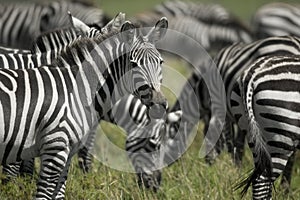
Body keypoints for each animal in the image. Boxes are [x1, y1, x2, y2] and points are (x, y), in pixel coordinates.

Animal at [0, 17, 169, 198]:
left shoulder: (65, 151)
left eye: (160, 62)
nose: (156, 188)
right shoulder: (51, 147)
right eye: (133, 64)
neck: (78, 88)